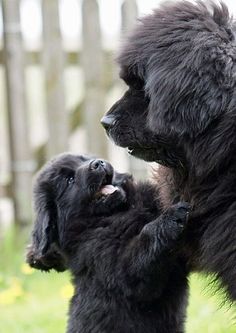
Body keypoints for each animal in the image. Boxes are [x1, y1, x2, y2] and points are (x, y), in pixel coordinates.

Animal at [26, 154, 189, 332]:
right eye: (69, 180)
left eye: (84, 158)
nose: (98, 163)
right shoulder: (116, 266)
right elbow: (141, 250)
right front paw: (170, 218)